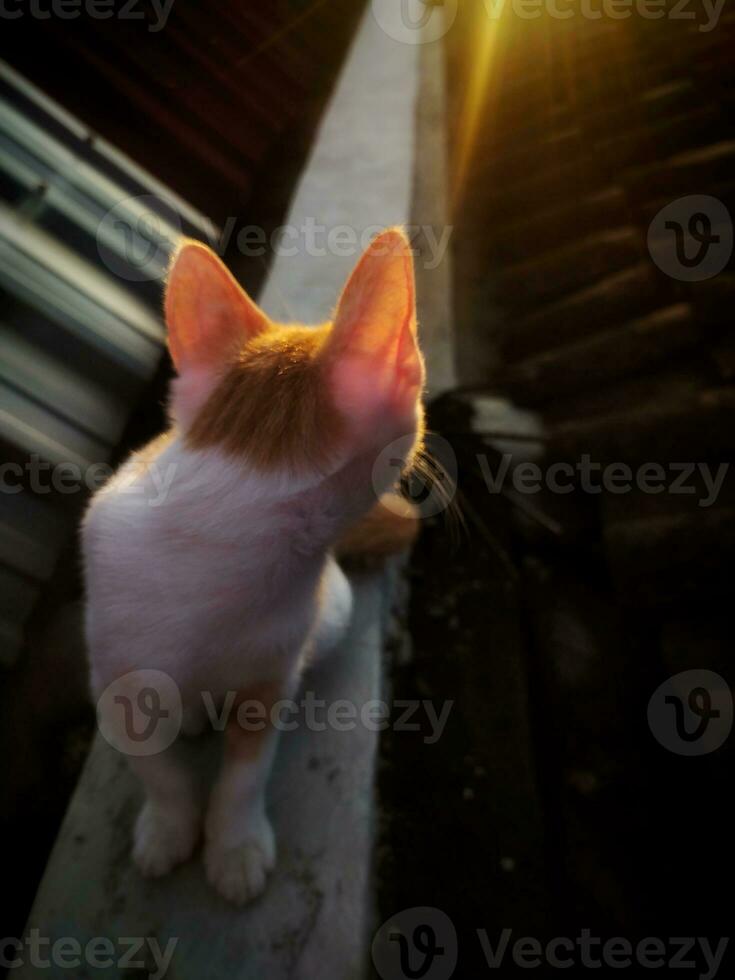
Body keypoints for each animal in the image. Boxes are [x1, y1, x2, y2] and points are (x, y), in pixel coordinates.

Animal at [82, 228, 426, 904]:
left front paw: (234, 843)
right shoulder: (112, 676)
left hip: (333, 611)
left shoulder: (271, 673)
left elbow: (247, 769)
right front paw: (169, 825)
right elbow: (155, 767)